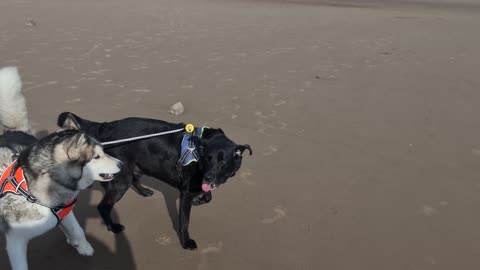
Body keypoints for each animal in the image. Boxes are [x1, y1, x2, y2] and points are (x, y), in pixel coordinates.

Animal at [57, 112, 251, 249]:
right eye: (207, 159)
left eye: (223, 162)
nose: (208, 176)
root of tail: (105, 127)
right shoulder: (186, 192)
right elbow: (184, 221)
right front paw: (186, 242)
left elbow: (208, 195)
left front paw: (201, 199)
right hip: (121, 180)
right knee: (103, 206)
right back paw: (113, 227)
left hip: (136, 166)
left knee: (134, 179)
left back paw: (144, 191)